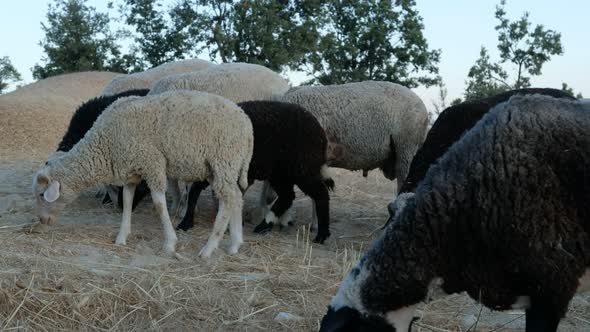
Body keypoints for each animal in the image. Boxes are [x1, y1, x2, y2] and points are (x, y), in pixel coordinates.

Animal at [32, 89, 253, 258]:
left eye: (42, 195)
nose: (42, 221)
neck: (104, 143)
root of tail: (246, 123)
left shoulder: (152, 163)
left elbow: (159, 204)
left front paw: (169, 243)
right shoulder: (132, 171)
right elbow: (127, 200)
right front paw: (121, 237)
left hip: (223, 160)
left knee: (227, 200)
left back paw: (208, 249)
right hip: (221, 167)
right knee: (237, 197)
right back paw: (234, 244)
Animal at [173, 101, 336, 244]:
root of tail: (320, 132)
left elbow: (196, 192)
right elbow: (194, 192)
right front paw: (186, 222)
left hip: (302, 169)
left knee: (320, 194)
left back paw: (321, 235)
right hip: (281, 172)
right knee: (287, 196)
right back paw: (264, 226)